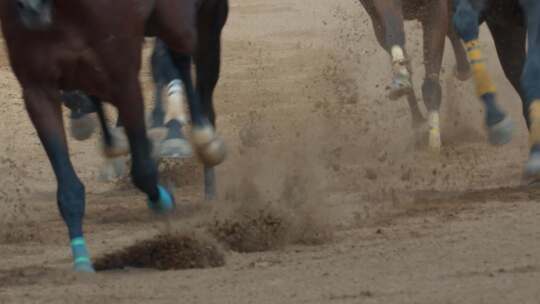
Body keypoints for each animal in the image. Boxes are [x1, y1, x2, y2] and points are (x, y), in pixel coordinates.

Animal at [0, 0, 228, 272]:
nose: (31, 7)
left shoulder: (123, 77)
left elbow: (143, 171)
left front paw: (164, 200)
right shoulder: (38, 88)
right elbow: (68, 188)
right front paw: (82, 260)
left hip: (187, 23)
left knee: (183, 59)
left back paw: (204, 145)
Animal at [358, 0, 472, 151]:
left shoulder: (434, 10)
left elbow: (431, 85)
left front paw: (434, 144)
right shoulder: (379, 9)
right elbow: (394, 33)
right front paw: (401, 81)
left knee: (450, 24)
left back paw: (463, 69)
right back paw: (417, 118)